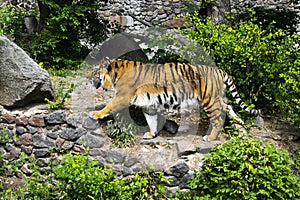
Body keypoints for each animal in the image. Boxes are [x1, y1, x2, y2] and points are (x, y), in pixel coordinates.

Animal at [90, 58, 262, 141]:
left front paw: (95, 114)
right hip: (216, 98)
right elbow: (151, 121)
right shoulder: (148, 105)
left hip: (209, 100)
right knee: (228, 106)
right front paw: (152, 134)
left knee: (218, 119)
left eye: (94, 70)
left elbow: (109, 106)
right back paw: (239, 121)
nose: (87, 76)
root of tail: (218, 70)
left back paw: (210, 137)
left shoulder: (122, 96)